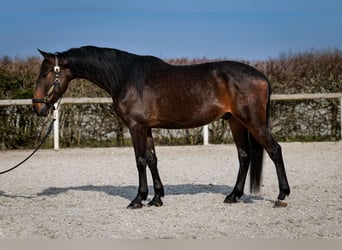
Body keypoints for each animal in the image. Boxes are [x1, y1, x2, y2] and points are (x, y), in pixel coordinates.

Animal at [32, 46, 290, 208]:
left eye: (45, 73)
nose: (37, 107)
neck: (125, 77)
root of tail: (261, 76)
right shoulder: (146, 128)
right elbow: (152, 159)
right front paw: (156, 198)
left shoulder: (136, 126)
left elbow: (140, 161)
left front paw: (138, 199)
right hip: (236, 122)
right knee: (245, 156)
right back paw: (233, 196)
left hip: (253, 123)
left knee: (274, 150)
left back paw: (281, 195)